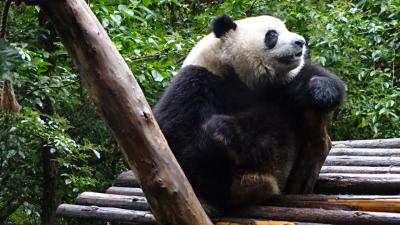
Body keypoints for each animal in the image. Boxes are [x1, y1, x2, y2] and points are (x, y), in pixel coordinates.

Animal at [154, 14, 346, 214]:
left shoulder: (282, 84)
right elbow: (176, 132)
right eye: (272, 34)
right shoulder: (200, 79)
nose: (300, 42)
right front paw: (217, 134)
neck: (240, 74)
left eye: (286, 29)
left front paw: (321, 90)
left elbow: (319, 78)